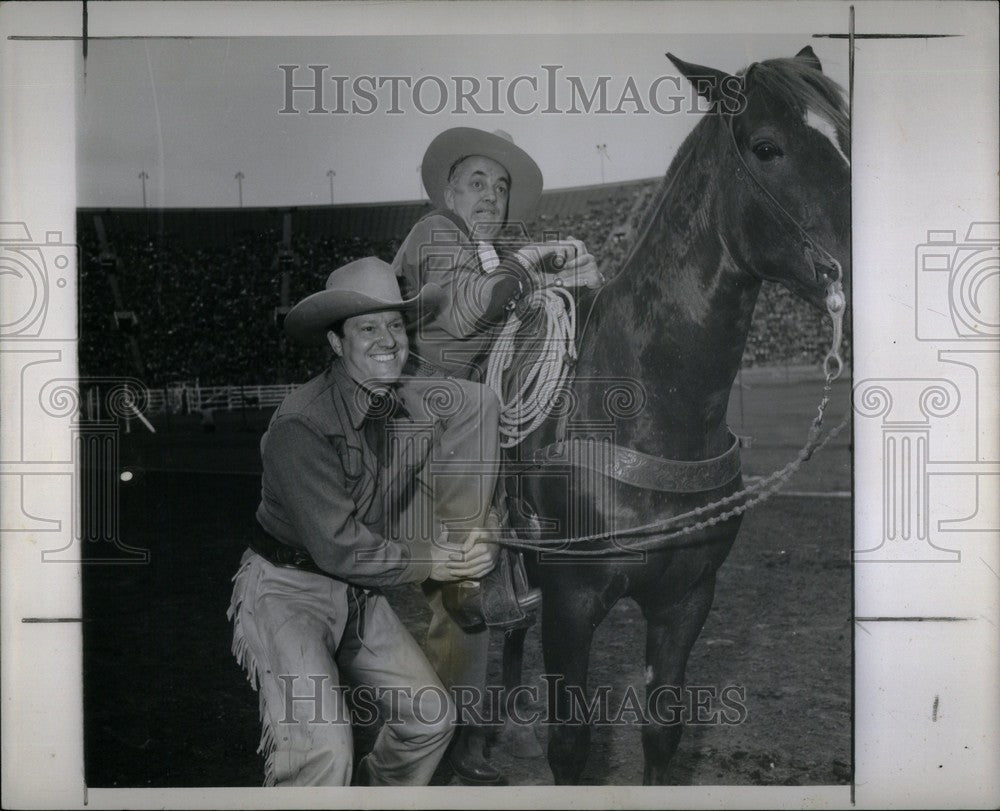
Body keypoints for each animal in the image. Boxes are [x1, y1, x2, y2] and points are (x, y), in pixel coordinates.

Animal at [504, 46, 848, 788]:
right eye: (766, 147)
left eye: (847, 131)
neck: (643, 411)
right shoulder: (568, 603)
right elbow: (569, 743)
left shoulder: (687, 597)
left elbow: (662, 730)